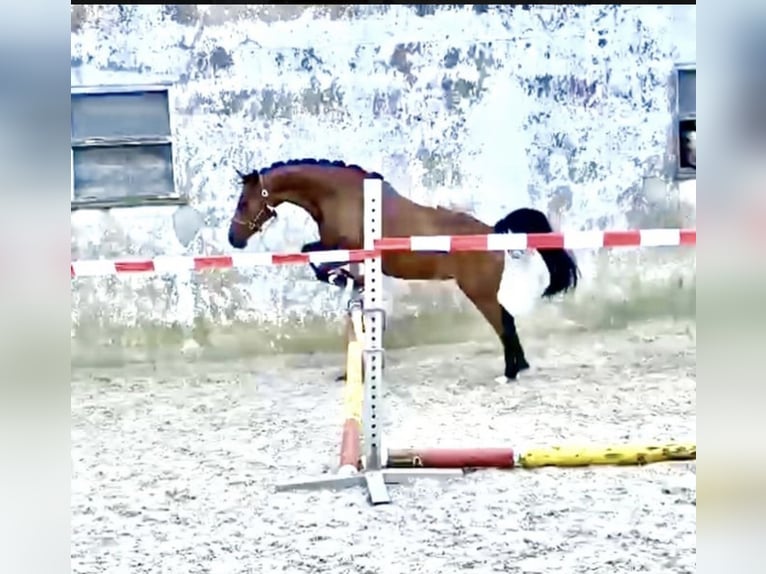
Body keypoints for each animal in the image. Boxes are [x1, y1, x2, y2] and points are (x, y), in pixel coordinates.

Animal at [231, 159, 580, 382]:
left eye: (244, 202)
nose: (234, 239)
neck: (342, 196)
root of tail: (493, 231)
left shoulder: (346, 245)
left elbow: (316, 257)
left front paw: (341, 277)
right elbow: (312, 253)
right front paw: (345, 278)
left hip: (479, 292)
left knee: (503, 324)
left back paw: (509, 373)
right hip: (483, 292)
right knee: (508, 320)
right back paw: (520, 367)